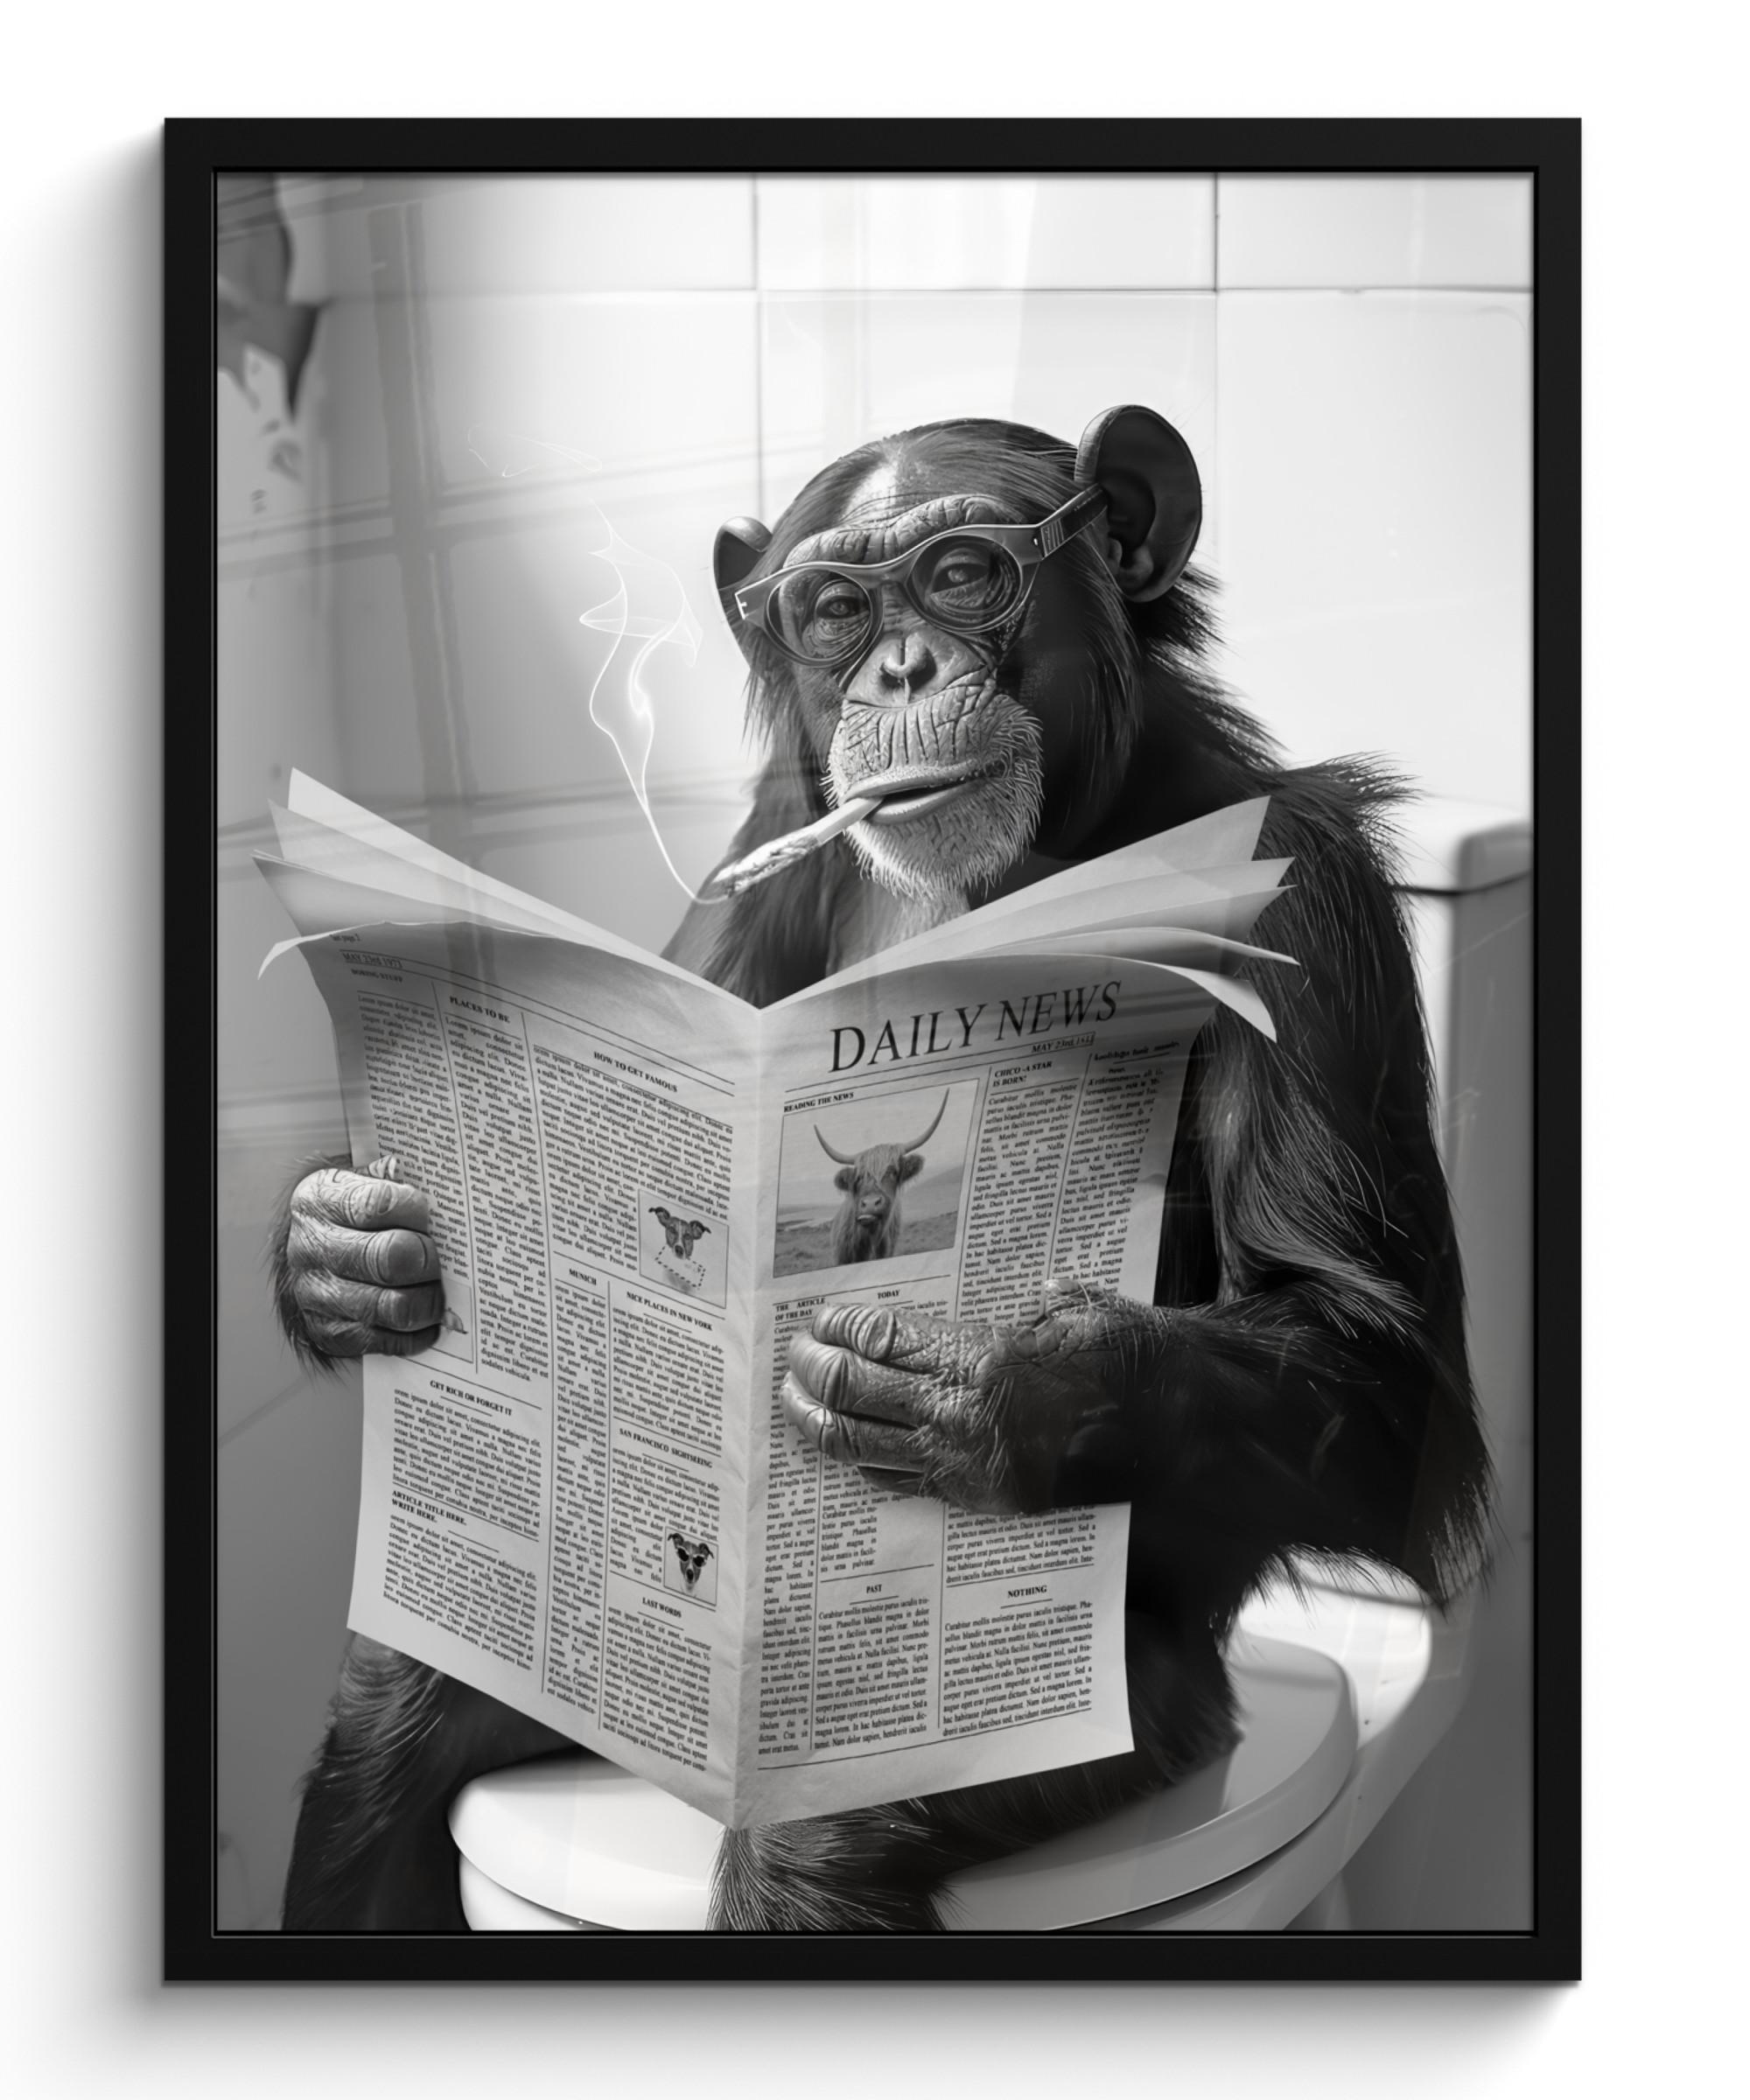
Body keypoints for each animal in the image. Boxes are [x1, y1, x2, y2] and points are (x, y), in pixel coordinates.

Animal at [272, 405, 1490, 1932]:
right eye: (835, 612)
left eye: (966, 574)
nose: (902, 666)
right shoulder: (755, 851)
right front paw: (353, 1252)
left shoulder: (1305, 893)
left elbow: (1375, 1362)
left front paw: (985, 1389)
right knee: (398, 1711)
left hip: (1139, 1715)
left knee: (818, 1834)